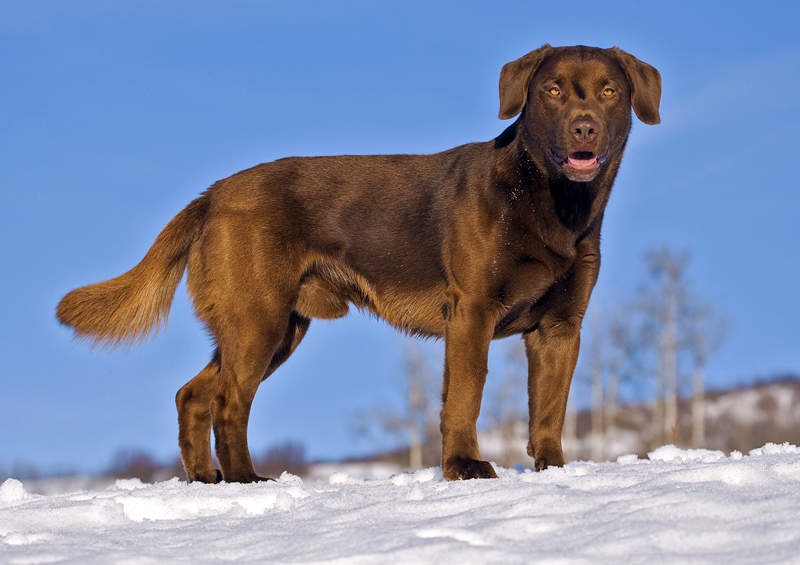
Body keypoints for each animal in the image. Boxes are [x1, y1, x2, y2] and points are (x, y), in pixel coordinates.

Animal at [54, 45, 656, 480]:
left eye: (609, 91)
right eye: (552, 91)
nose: (584, 127)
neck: (549, 203)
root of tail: (212, 195)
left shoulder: (560, 327)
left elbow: (550, 408)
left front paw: (555, 470)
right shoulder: (472, 313)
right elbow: (465, 396)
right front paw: (465, 467)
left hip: (276, 327)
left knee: (193, 395)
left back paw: (207, 481)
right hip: (259, 320)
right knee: (228, 401)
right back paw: (248, 478)